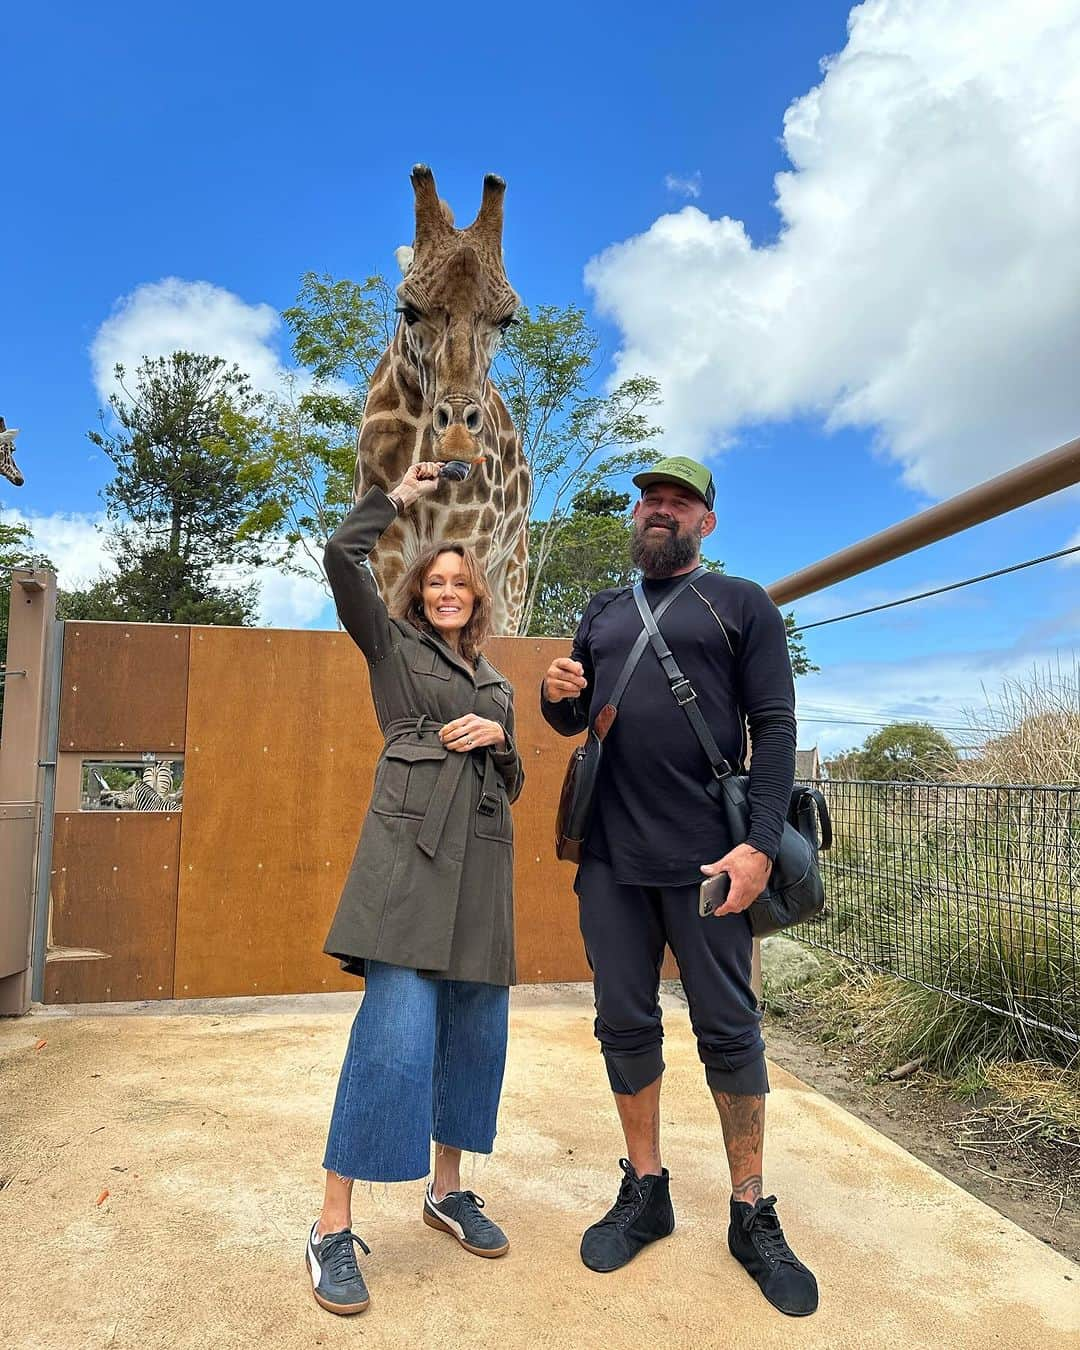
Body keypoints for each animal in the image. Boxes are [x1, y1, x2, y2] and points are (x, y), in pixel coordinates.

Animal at [353, 162, 531, 631]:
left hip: (514, 571)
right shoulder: (387, 544)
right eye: (408, 310)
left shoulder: (472, 532)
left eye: (507, 320)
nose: (457, 441)